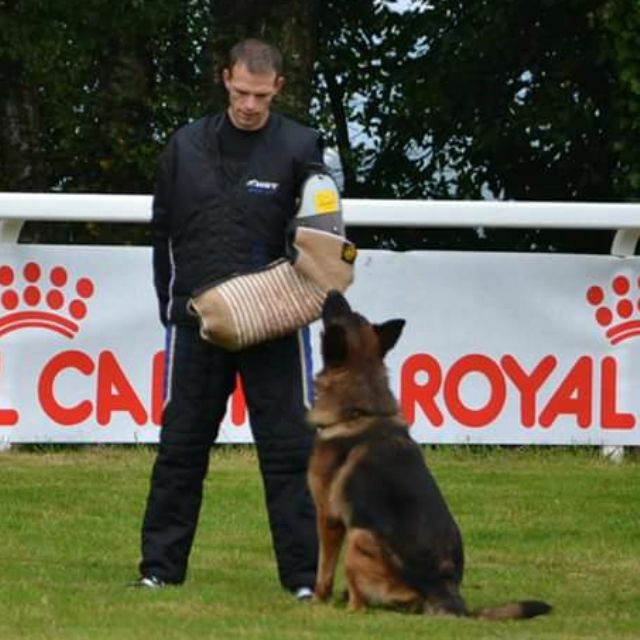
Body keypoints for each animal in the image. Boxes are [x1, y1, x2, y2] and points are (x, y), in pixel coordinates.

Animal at [304, 292, 552, 620]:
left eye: (339, 314)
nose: (333, 292)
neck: (360, 409)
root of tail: (446, 590)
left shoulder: (328, 517)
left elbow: (323, 570)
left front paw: (316, 600)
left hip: (360, 537)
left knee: (363, 602)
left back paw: (349, 606)